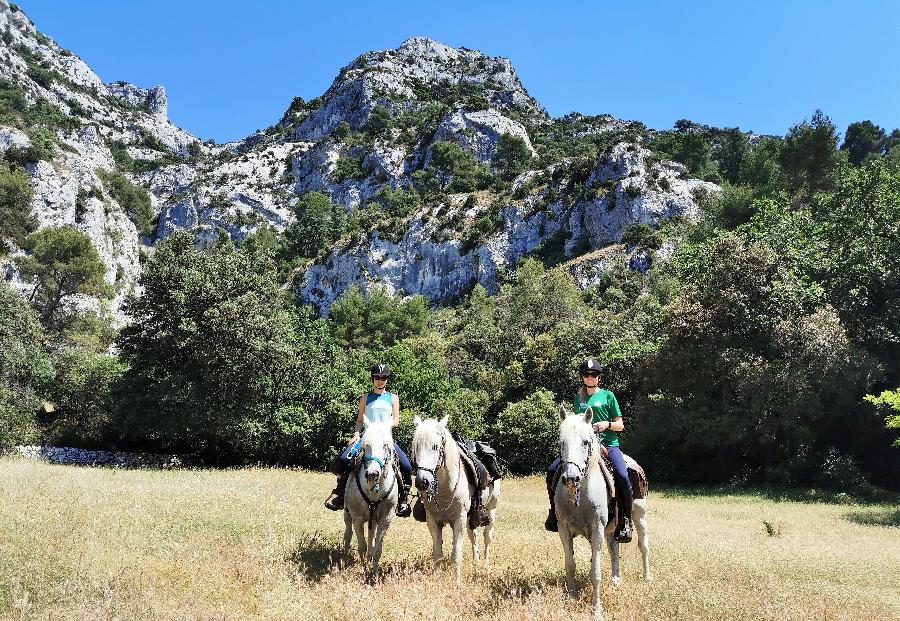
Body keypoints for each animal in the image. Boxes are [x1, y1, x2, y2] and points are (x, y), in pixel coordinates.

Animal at [342, 416, 398, 580]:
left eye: (385, 445)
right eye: (366, 445)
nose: (372, 474)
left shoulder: (386, 519)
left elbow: (377, 548)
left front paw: (373, 574)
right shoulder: (357, 517)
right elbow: (361, 546)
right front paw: (363, 569)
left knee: (371, 535)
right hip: (347, 513)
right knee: (348, 533)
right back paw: (345, 556)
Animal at [414, 414, 502, 580]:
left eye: (435, 446)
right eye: (416, 446)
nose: (422, 481)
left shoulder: (459, 519)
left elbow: (456, 554)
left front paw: (456, 581)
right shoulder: (433, 521)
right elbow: (437, 554)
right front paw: (437, 578)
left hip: (491, 510)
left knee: (487, 537)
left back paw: (485, 564)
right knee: (473, 536)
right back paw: (476, 561)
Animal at [552, 404, 652, 616]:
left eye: (585, 442)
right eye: (561, 442)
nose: (571, 478)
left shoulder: (597, 529)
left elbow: (595, 572)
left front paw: (596, 609)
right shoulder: (564, 530)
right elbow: (570, 566)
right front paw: (572, 598)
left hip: (639, 516)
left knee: (644, 545)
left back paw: (647, 578)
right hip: (612, 528)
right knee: (614, 550)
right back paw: (615, 579)